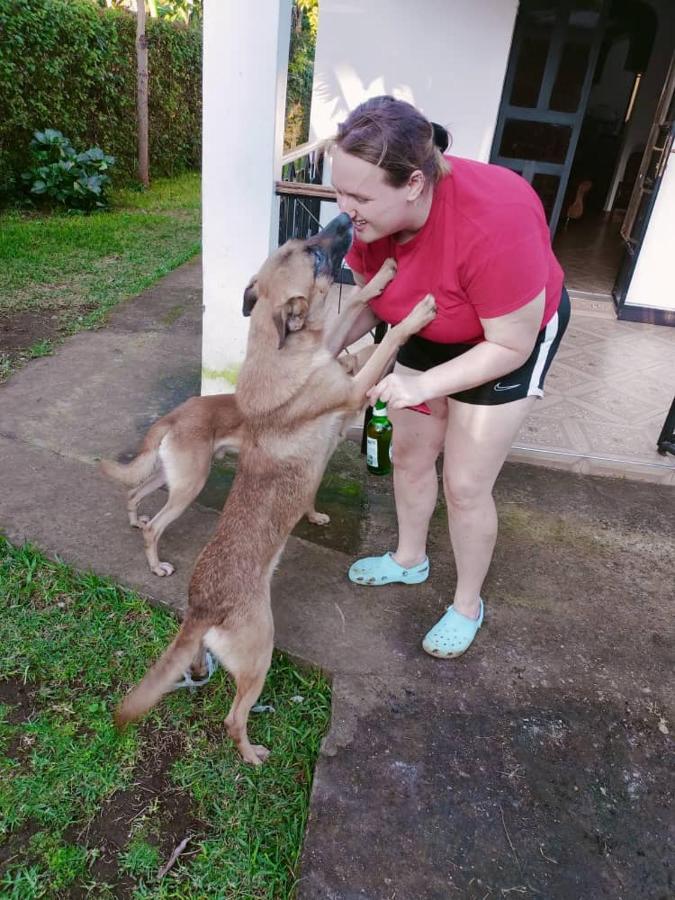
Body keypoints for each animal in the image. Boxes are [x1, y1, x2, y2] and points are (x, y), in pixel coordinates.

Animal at [113, 213, 436, 768]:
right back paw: (252, 754)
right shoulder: (352, 387)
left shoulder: (334, 353)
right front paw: (414, 314)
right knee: (232, 718)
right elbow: (384, 345)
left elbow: (354, 309)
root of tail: (203, 608)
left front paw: (382, 277)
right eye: (314, 253)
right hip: (258, 651)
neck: (279, 348)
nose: (345, 218)